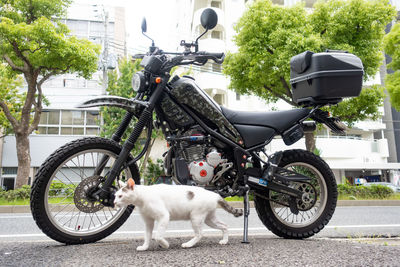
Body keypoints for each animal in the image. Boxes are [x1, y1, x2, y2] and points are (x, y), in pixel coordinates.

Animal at [114, 179, 242, 252]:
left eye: (120, 196)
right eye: (115, 196)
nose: (114, 202)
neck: (142, 199)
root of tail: (215, 195)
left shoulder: (164, 216)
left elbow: (158, 236)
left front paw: (165, 245)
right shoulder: (148, 221)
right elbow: (147, 236)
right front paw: (145, 247)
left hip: (196, 217)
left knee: (200, 233)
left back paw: (188, 244)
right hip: (209, 219)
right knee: (224, 225)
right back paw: (224, 241)